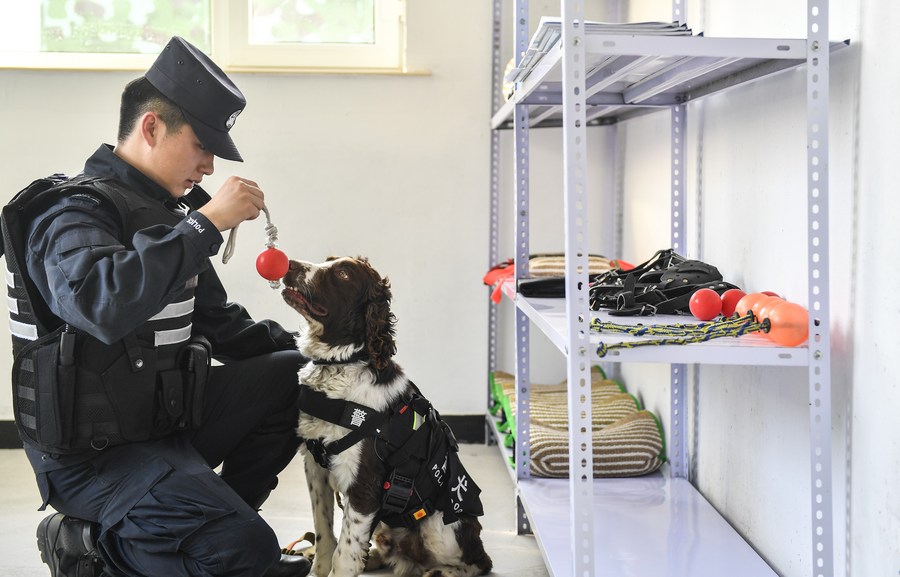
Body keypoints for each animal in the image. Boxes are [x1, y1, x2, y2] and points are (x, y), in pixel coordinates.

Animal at [282, 258, 492, 576]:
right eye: (328, 261)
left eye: (342, 274)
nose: (290, 264)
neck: (343, 364)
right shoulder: (315, 468)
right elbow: (324, 535)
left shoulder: (364, 486)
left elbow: (343, 556)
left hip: (440, 524)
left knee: (478, 561)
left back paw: (439, 571)